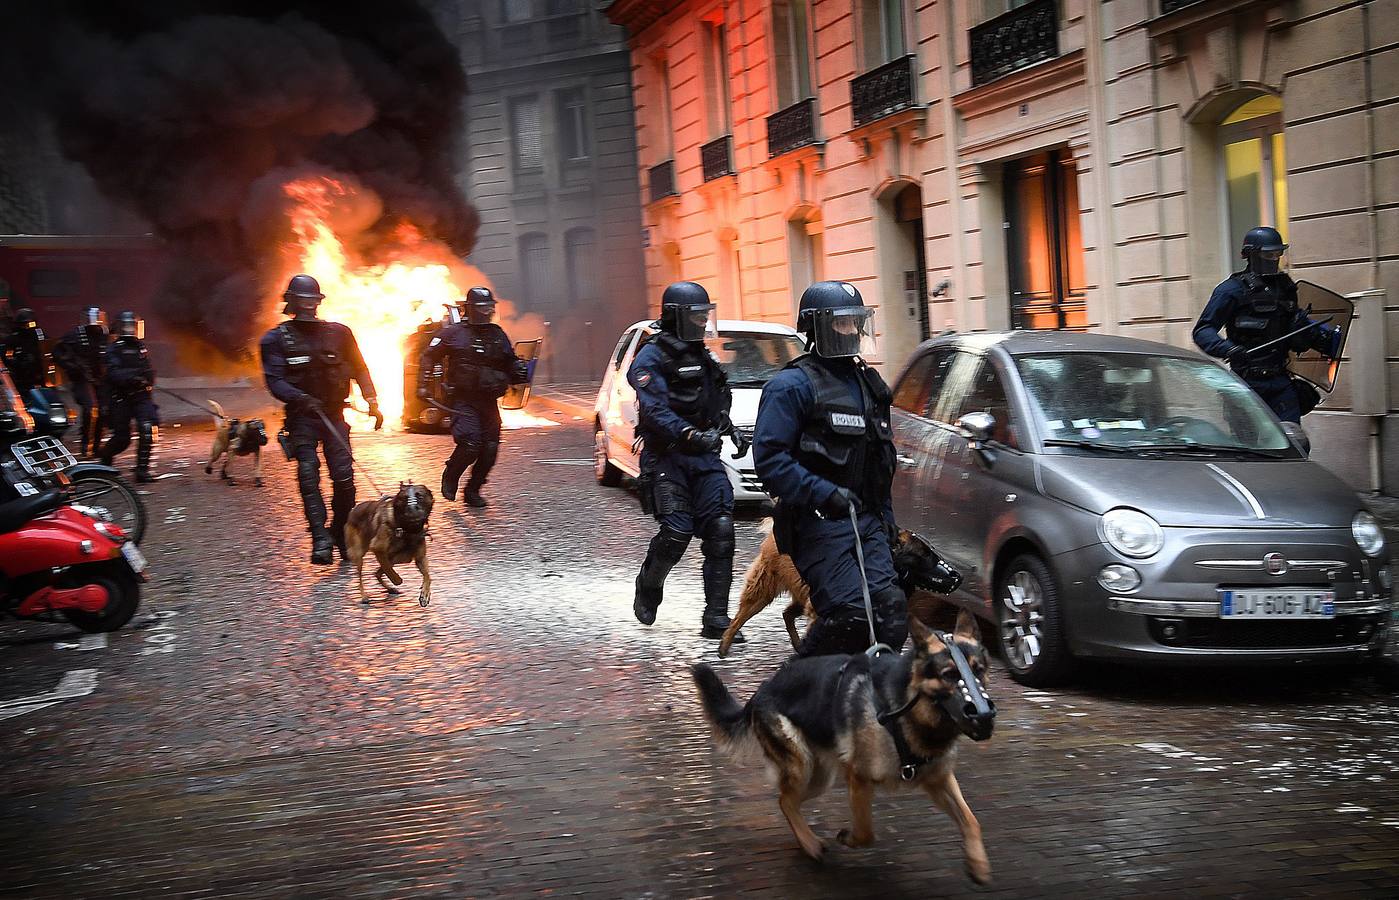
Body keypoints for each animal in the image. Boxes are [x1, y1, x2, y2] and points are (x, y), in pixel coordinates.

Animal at [691, 615, 996, 884]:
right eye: (949, 675)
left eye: (979, 670)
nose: (984, 716)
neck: (903, 708)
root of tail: (758, 692)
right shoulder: (859, 779)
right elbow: (865, 832)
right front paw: (848, 838)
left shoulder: (939, 780)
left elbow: (972, 820)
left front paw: (978, 865)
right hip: (804, 768)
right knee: (785, 800)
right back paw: (810, 845)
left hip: (819, 778)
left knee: (787, 800)